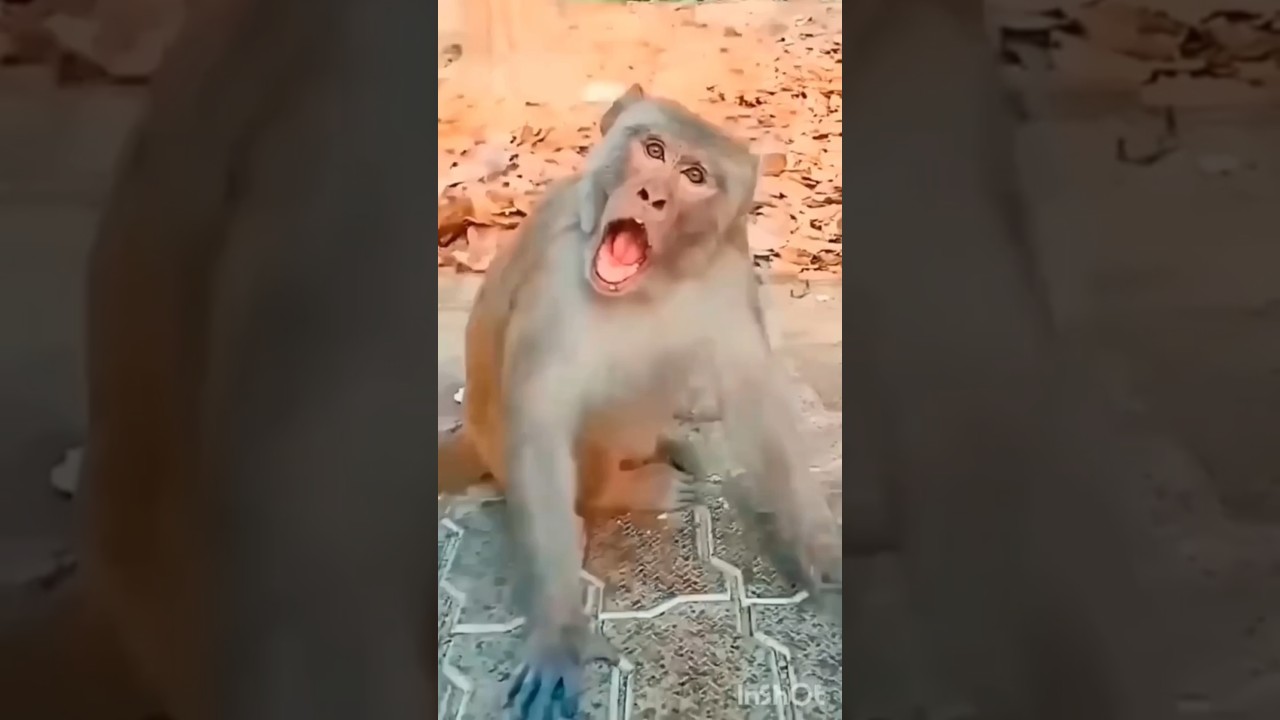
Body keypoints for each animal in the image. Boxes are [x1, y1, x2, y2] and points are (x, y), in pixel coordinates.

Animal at [436, 84, 843, 720]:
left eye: (694, 175)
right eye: (653, 150)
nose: (652, 194)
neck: (652, 284)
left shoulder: (728, 270)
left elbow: (755, 396)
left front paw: (823, 555)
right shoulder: (556, 274)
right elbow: (543, 421)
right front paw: (559, 634)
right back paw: (625, 488)